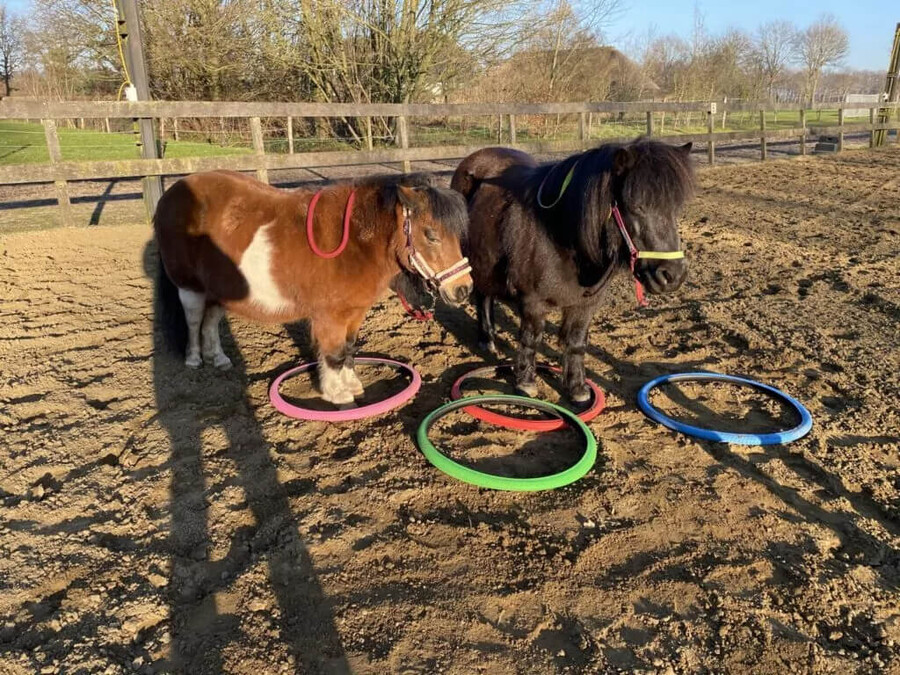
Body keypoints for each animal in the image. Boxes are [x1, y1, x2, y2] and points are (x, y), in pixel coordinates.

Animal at [156, 172, 474, 404]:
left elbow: (347, 349)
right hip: (190, 287)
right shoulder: (330, 317)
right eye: (431, 235)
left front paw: (351, 384)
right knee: (194, 319)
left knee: (210, 320)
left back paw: (218, 359)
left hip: (219, 288)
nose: (463, 289)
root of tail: (173, 193)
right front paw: (338, 394)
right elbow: (334, 354)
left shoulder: (353, 314)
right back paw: (194, 359)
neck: (355, 243)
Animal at [450, 137, 696, 402]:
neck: (558, 234)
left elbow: (577, 343)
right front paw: (526, 383)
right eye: (636, 206)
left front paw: (577, 388)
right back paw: (487, 339)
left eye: (675, 208)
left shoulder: (586, 305)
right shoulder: (533, 303)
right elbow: (531, 339)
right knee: (482, 296)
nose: (672, 275)